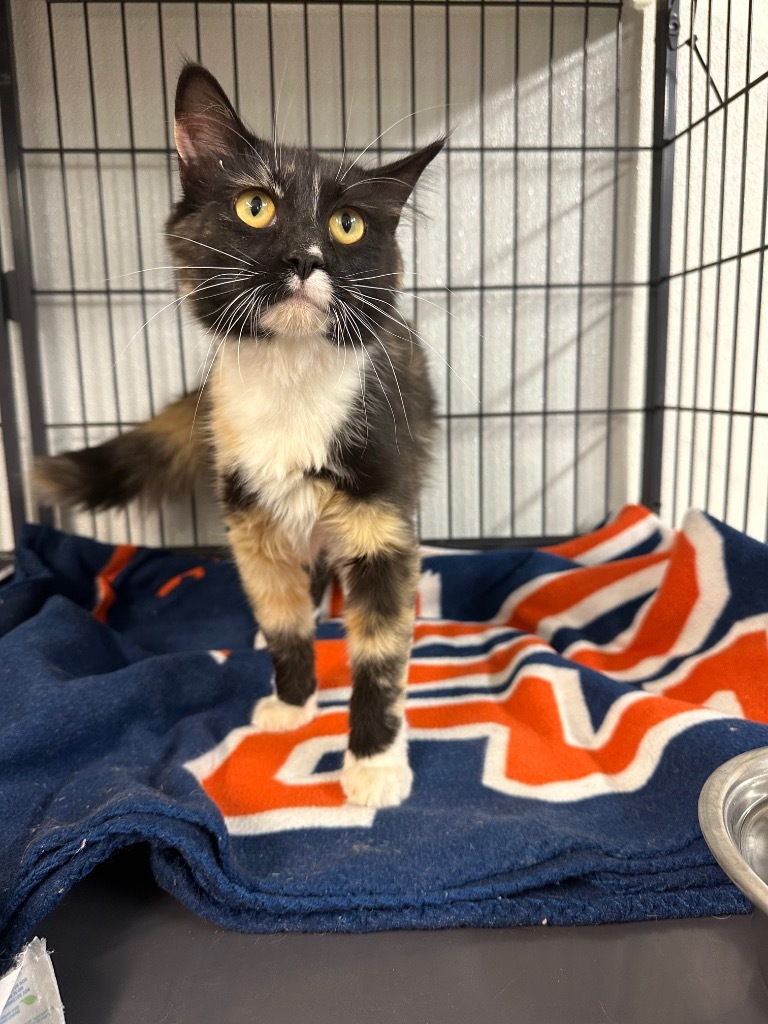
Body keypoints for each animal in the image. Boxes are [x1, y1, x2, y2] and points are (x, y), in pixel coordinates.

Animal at [36, 64, 444, 811]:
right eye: (256, 207)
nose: (305, 257)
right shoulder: (250, 517)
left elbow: (379, 655)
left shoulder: (382, 516)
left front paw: (373, 763)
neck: (288, 383)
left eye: (347, 225)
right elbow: (283, 618)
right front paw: (293, 699)